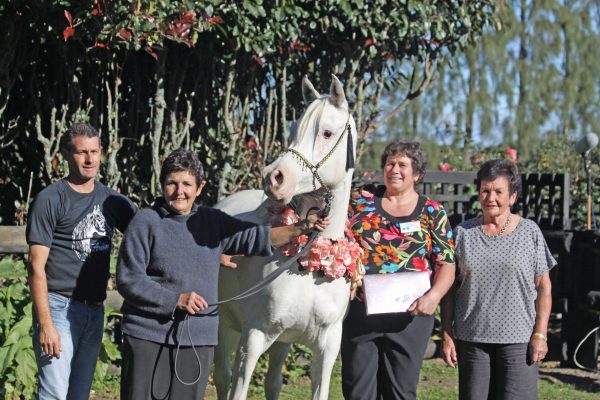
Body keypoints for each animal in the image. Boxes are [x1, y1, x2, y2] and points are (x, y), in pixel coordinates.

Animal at [214, 76, 356, 400]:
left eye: (327, 132)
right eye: (292, 131)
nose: (274, 177)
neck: (312, 262)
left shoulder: (327, 348)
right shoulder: (253, 338)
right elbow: (238, 388)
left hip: (282, 340)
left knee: (273, 382)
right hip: (225, 324)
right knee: (222, 377)